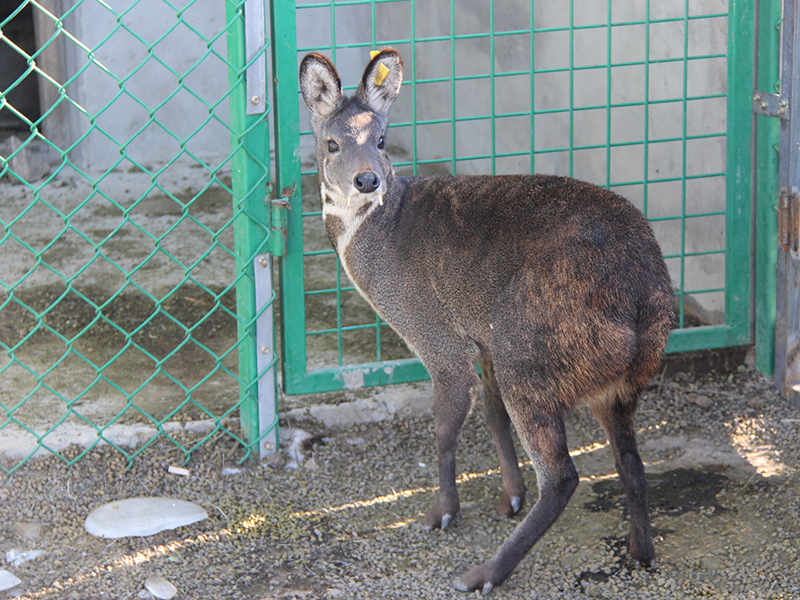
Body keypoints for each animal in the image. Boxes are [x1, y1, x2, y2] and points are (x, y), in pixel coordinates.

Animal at [300, 49, 676, 592]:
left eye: (382, 140)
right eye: (332, 143)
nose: (367, 179)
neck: (381, 237)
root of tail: (646, 301)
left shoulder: (436, 336)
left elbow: (444, 429)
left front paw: (441, 513)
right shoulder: (483, 340)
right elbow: (494, 415)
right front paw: (509, 496)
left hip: (532, 348)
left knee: (564, 475)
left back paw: (483, 572)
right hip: (611, 380)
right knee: (630, 459)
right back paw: (640, 551)